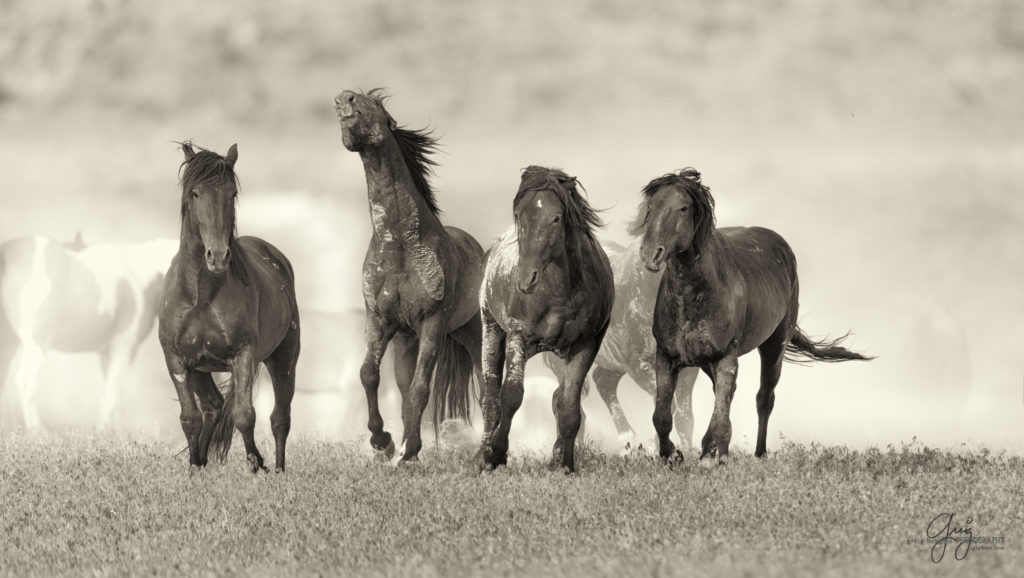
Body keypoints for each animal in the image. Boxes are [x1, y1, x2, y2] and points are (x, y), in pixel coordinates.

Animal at [0, 234, 178, 428]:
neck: (140, 276)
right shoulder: (122, 348)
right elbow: (112, 398)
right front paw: (103, 432)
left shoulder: (107, 353)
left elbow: (116, 398)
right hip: (36, 344)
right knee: (25, 383)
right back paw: (36, 430)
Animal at [156, 142, 299, 471]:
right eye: (195, 193)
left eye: (231, 193)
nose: (218, 255)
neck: (200, 296)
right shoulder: (178, 360)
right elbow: (190, 418)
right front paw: (194, 468)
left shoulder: (243, 355)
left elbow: (245, 415)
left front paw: (256, 464)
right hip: (200, 369)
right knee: (212, 407)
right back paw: (202, 462)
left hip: (284, 360)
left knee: (280, 418)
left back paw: (279, 470)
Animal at [333, 88, 481, 463]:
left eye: (376, 104)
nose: (343, 98)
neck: (400, 248)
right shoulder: (380, 321)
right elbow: (369, 375)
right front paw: (383, 443)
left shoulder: (432, 323)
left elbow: (420, 388)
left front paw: (410, 451)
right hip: (405, 341)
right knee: (401, 388)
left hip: (473, 333)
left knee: (489, 384)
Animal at [475, 167, 610, 473]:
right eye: (518, 215)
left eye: (556, 218)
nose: (526, 278)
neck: (560, 292)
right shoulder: (517, 334)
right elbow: (511, 394)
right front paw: (496, 454)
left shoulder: (586, 344)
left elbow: (569, 406)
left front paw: (563, 465)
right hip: (492, 330)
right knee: (490, 397)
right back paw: (481, 457)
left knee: (558, 397)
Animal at [634, 167, 868, 461]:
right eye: (651, 207)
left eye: (683, 208)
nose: (650, 254)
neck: (694, 296)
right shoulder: (666, 357)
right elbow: (662, 416)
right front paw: (672, 456)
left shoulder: (726, 358)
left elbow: (722, 418)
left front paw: (715, 457)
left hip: (773, 346)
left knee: (764, 398)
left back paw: (758, 453)